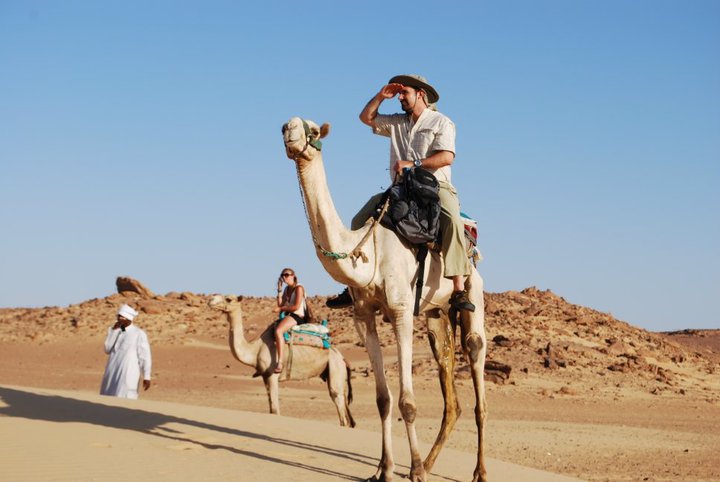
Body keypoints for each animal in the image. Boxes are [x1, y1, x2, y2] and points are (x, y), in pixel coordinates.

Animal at [208, 295, 355, 428]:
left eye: (228, 299)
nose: (211, 300)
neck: (255, 349)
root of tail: (342, 358)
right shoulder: (265, 376)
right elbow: (271, 409)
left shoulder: (273, 375)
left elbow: (275, 410)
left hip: (335, 367)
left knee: (338, 403)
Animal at [281, 117, 488, 482]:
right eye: (283, 127)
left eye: (313, 130)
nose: (290, 135)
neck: (370, 256)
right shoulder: (364, 316)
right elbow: (382, 399)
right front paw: (385, 469)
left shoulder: (401, 311)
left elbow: (407, 401)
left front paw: (414, 470)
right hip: (436, 314)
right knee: (449, 380)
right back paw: (431, 462)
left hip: (473, 287)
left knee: (477, 370)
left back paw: (477, 471)